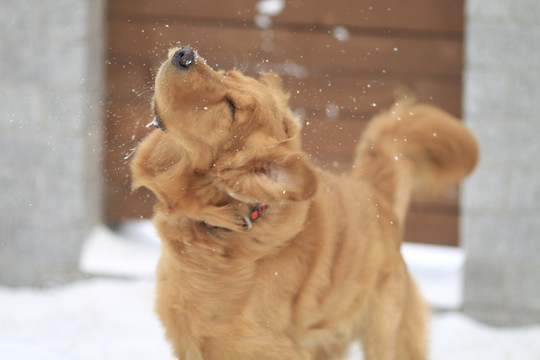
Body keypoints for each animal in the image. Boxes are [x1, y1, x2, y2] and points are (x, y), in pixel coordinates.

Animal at [131, 46, 476, 358]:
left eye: (231, 107)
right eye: (226, 73)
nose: (185, 54)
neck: (224, 224)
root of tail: (371, 191)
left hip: (385, 335)